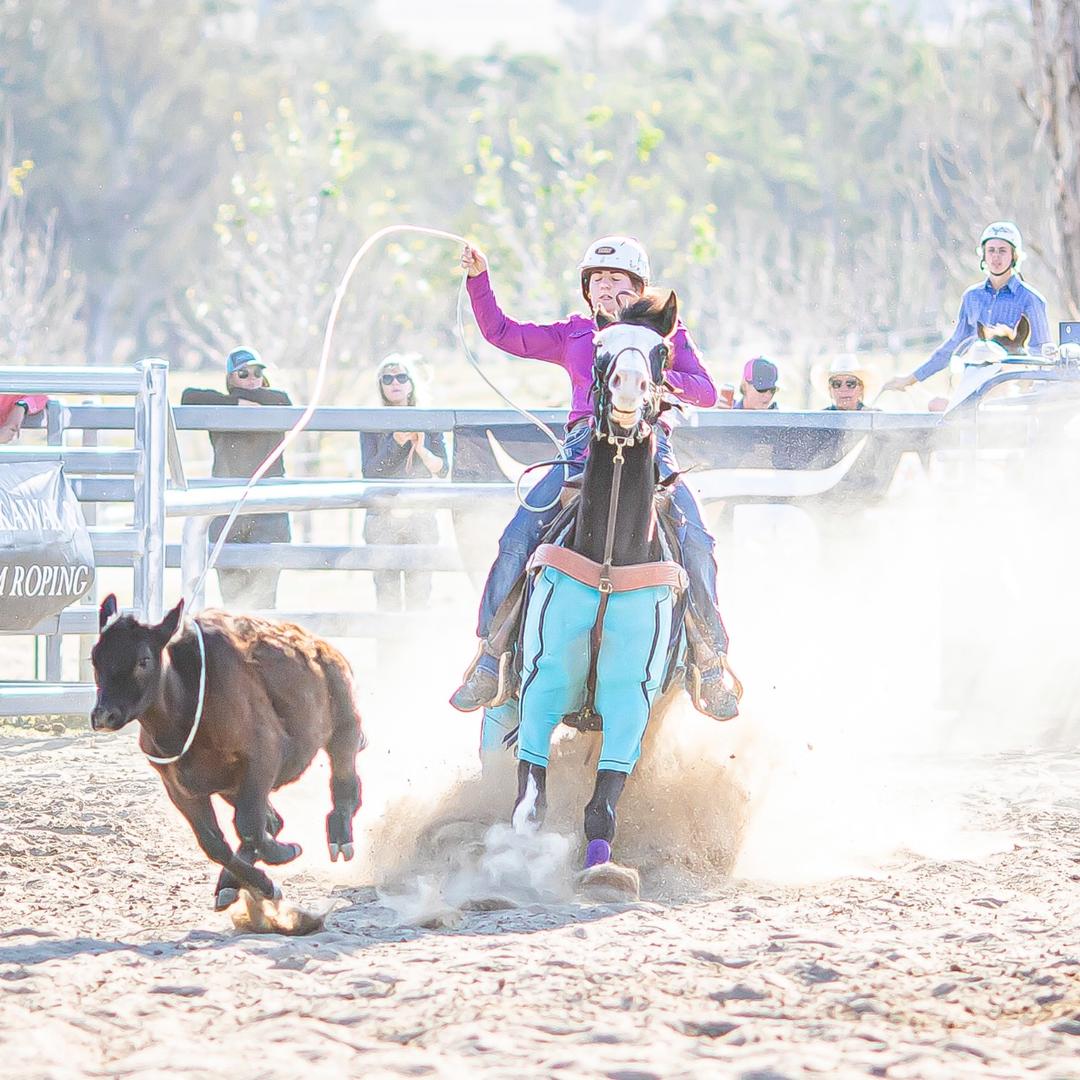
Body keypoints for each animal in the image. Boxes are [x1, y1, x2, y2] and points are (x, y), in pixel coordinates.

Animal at [90, 600, 365, 911]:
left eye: (143, 660)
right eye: (95, 659)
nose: (103, 715)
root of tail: (322, 646)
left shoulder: (262, 760)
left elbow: (249, 826)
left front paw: (284, 852)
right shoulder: (179, 788)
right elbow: (215, 843)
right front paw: (263, 884)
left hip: (345, 726)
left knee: (345, 783)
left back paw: (340, 836)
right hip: (229, 787)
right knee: (273, 821)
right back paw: (230, 884)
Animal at [507, 293, 691, 876]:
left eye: (661, 351)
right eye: (599, 348)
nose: (629, 386)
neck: (610, 562)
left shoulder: (633, 697)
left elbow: (602, 805)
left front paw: (602, 874)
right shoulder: (540, 683)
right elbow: (529, 804)